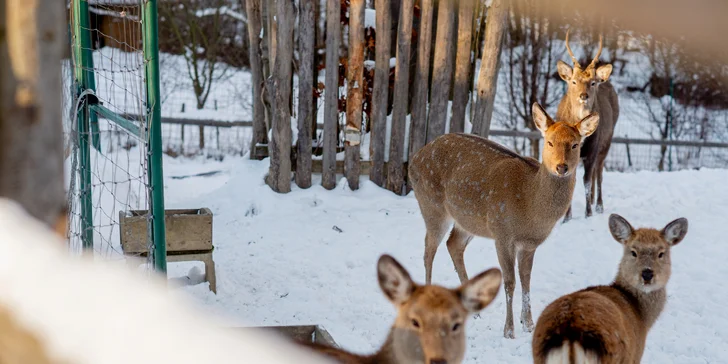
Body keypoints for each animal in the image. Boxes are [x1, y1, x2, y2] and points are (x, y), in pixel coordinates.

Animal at [406, 102, 600, 338]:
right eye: (549, 142)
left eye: (574, 144)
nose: (561, 167)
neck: (531, 209)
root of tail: (414, 159)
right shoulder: (502, 234)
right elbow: (510, 282)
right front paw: (509, 330)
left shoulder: (529, 244)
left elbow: (526, 279)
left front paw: (529, 324)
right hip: (432, 206)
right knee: (428, 250)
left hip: (468, 221)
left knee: (453, 244)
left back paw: (472, 310)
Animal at [528, 213, 688, 364]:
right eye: (633, 252)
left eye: (661, 253)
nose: (647, 273)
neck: (641, 316)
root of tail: (569, 332)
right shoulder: (635, 355)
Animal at [556, 29, 620, 222]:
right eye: (573, 81)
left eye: (592, 83)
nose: (583, 96)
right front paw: (567, 217)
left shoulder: (592, 149)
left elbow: (586, 181)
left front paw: (588, 213)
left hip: (607, 141)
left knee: (598, 172)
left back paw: (598, 205)